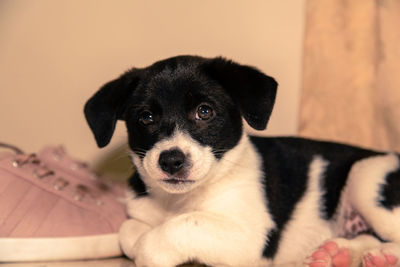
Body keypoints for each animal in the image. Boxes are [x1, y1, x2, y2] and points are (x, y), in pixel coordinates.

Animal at [84, 55, 400, 266]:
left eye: (205, 111)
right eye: (146, 117)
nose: (171, 161)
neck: (179, 202)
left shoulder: (252, 237)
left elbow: (177, 228)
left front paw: (151, 251)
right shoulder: (141, 214)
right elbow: (128, 231)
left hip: (367, 178)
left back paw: (379, 255)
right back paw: (338, 254)